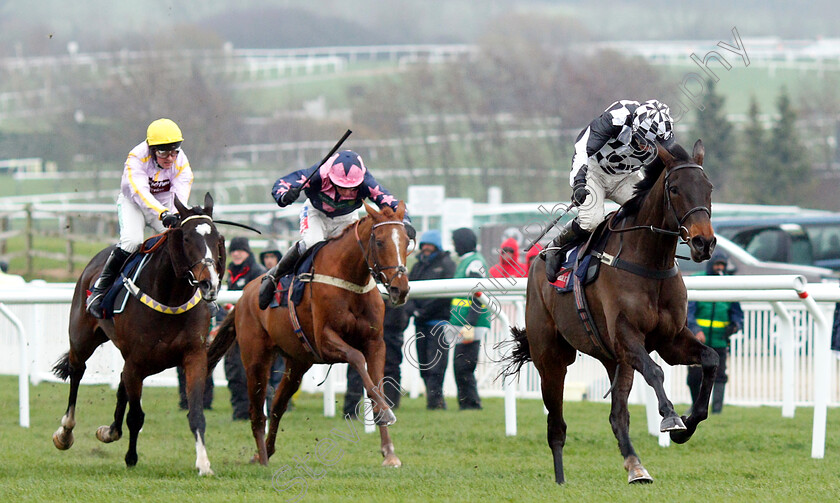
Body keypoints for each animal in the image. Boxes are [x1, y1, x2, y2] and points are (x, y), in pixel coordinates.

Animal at [51, 193, 225, 476]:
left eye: (217, 239)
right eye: (187, 238)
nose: (209, 283)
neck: (170, 296)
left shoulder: (194, 357)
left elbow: (196, 414)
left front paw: (204, 464)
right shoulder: (137, 361)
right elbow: (136, 416)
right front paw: (131, 457)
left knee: (120, 381)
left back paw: (109, 431)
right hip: (82, 339)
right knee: (77, 372)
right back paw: (65, 432)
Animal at [207, 201, 410, 468]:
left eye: (407, 240)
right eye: (379, 242)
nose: (400, 289)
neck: (349, 281)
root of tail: (243, 298)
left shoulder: (375, 343)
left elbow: (376, 385)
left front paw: (389, 450)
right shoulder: (324, 341)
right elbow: (356, 358)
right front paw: (385, 413)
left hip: (297, 362)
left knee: (277, 404)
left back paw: (266, 451)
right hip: (256, 359)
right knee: (256, 411)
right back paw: (263, 458)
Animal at [502, 141, 720, 484]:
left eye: (708, 188)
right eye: (674, 189)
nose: (704, 242)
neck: (649, 262)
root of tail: (536, 261)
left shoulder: (670, 340)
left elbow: (711, 358)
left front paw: (686, 425)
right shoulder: (626, 336)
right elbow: (656, 372)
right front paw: (671, 417)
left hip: (613, 360)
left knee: (617, 415)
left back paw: (636, 466)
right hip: (551, 358)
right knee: (556, 425)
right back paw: (560, 479)